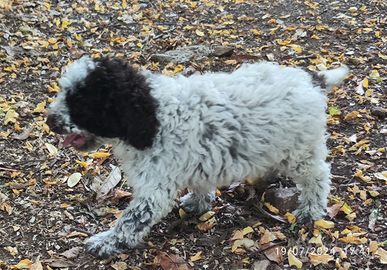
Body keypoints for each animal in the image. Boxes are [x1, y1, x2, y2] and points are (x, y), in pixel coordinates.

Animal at [47, 56, 350, 256]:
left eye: (81, 104)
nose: (50, 121)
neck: (152, 115)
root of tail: (312, 81)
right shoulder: (199, 160)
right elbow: (201, 184)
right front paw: (198, 203)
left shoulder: (154, 191)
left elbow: (130, 221)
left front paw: (107, 242)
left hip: (300, 150)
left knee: (319, 176)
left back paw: (310, 210)